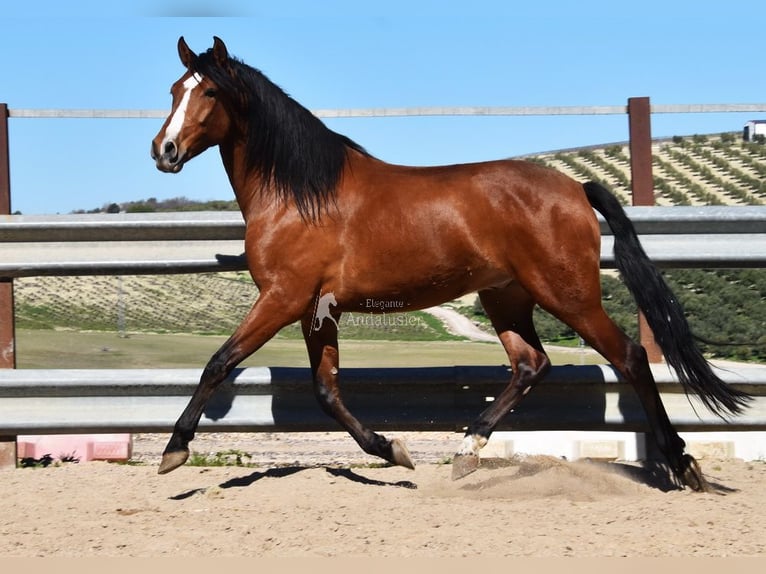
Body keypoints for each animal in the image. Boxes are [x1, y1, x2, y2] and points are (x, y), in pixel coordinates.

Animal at [151, 36, 750, 491]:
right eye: (174, 89)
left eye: (209, 91)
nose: (164, 151)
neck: (301, 195)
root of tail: (575, 189)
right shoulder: (315, 311)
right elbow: (326, 391)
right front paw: (393, 450)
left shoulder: (282, 297)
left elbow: (218, 363)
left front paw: (174, 450)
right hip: (506, 296)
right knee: (531, 364)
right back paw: (467, 448)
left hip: (567, 295)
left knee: (628, 356)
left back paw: (681, 464)